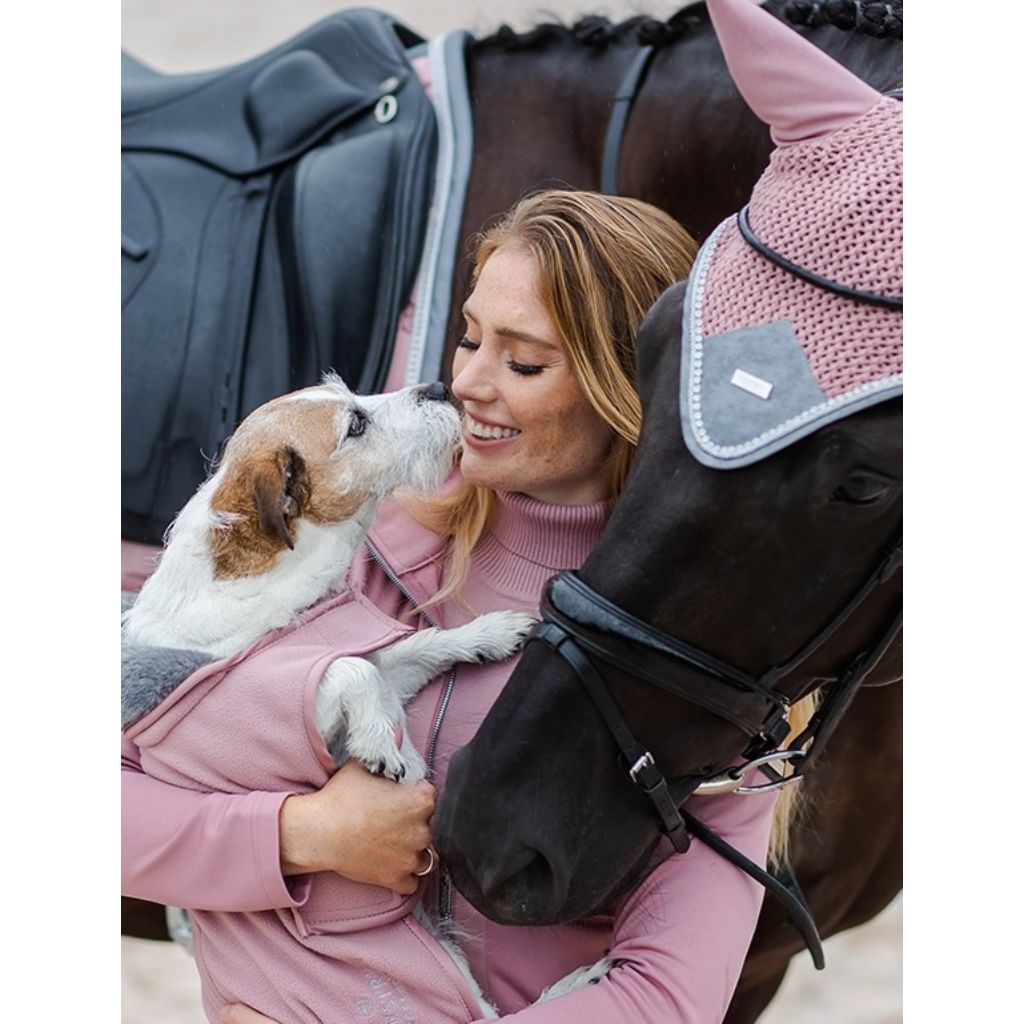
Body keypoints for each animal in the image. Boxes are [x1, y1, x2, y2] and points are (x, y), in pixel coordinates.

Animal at [120, 376, 540, 1015]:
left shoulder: (392, 672)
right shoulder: (291, 715)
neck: (276, 590)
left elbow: (414, 646)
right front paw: (379, 746)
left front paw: (489, 633)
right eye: (356, 425)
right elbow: (347, 667)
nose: (438, 385)